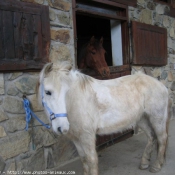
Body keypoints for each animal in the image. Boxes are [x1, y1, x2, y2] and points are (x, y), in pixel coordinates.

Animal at [38, 60, 170, 175]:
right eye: (48, 92)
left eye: (66, 92)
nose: (62, 127)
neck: (76, 102)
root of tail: (161, 85)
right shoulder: (76, 138)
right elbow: (84, 160)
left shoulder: (87, 136)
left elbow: (91, 160)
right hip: (142, 119)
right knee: (151, 137)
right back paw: (144, 163)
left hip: (157, 118)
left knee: (162, 138)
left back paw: (156, 166)